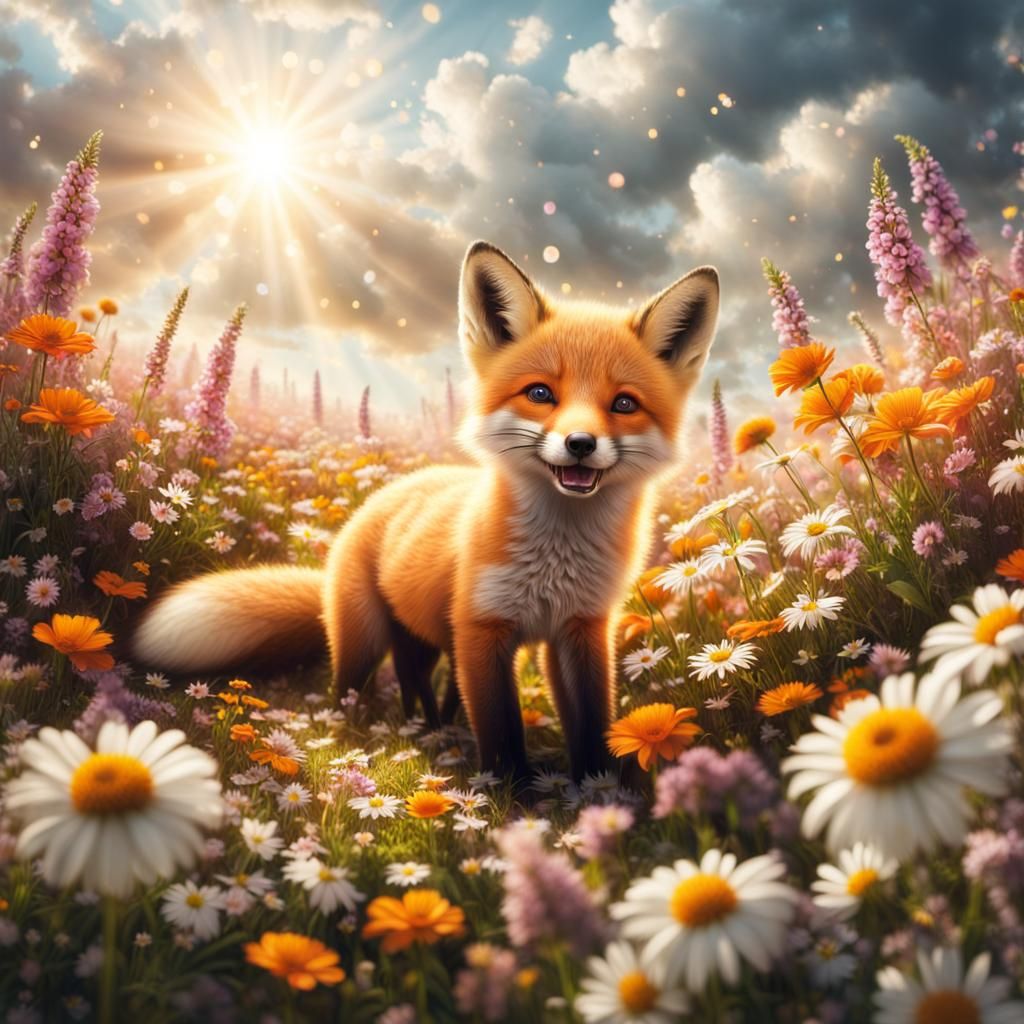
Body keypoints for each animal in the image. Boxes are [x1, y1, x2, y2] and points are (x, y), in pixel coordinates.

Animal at [133, 241, 720, 783]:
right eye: (540, 393)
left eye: (623, 404)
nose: (579, 444)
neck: (558, 556)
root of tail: (379, 497)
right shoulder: (482, 628)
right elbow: (501, 731)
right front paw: (511, 797)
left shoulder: (582, 629)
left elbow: (592, 722)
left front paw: (598, 793)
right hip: (366, 638)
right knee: (353, 686)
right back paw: (362, 729)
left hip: (429, 641)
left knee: (421, 681)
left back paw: (432, 726)